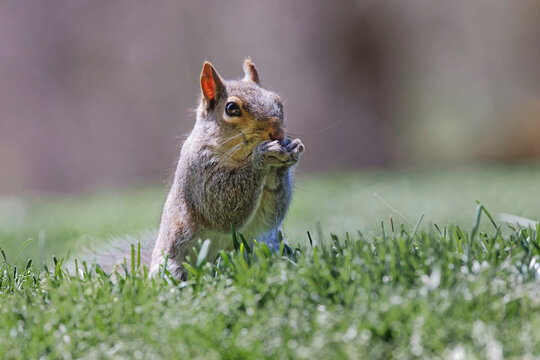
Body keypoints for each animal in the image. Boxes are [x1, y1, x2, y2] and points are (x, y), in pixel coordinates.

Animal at [85, 59, 304, 278]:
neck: (239, 157)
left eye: (278, 101)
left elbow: (272, 214)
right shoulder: (198, 172)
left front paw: (287, 154)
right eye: (231, 108)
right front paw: (263, 155)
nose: (278, 132)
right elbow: (222, 206)